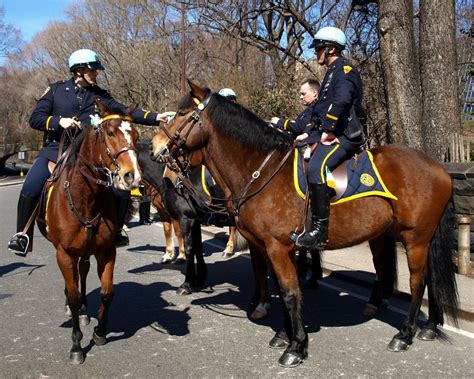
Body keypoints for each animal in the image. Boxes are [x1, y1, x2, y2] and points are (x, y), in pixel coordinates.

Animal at [36, 100, 141, 366]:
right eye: (110, 133)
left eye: (136, 135)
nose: (132, 176)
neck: (85, 197)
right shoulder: (64, 253)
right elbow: (73, 296)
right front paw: (76, 346)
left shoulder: (107, 251)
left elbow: (107, 292)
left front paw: (100, 332)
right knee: (73, 278)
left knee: (82, 271)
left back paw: (84, 311)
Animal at [150, 82, 458, 368]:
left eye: (182, 113)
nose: (155, 147)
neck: (261, 171)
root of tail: (439, 167)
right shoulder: (267, 246)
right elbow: (278, 285)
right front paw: (284, 335)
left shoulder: (276, 247)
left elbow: (289, 292)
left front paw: (296, 346)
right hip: (400, 236)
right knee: (421, 276)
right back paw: (429, 326)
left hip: (415, 237)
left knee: (418, 281)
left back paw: (404, 334)